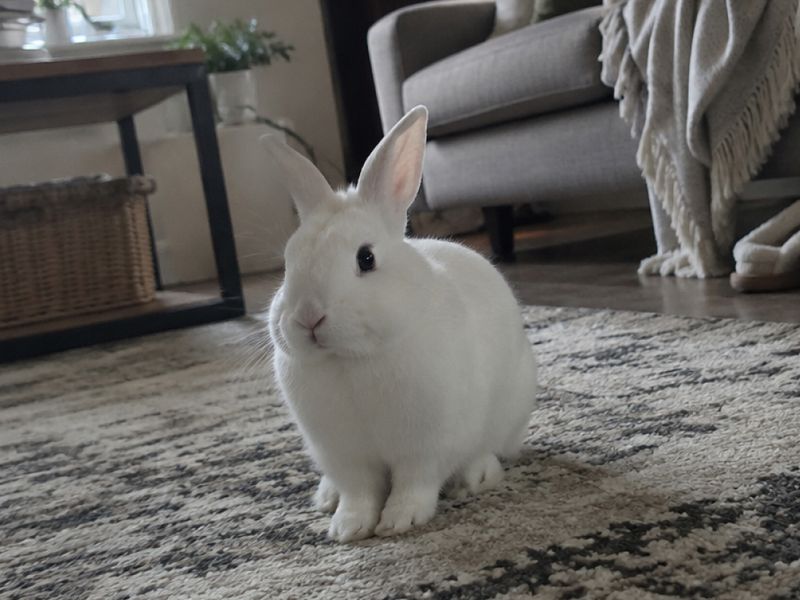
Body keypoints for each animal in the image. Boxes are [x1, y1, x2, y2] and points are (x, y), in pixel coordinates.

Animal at [262, 106, 537, 543]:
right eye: (289, 263)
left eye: (366, 258)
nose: (308, 317)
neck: (350, 360)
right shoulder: (344, 455)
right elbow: (358, 491)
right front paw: (347, 527)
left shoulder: (426, 446)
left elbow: (414, 483)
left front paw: (399, 521)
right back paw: (326, 497)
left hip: (510, 412)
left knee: (489, 450)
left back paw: (474, 478)